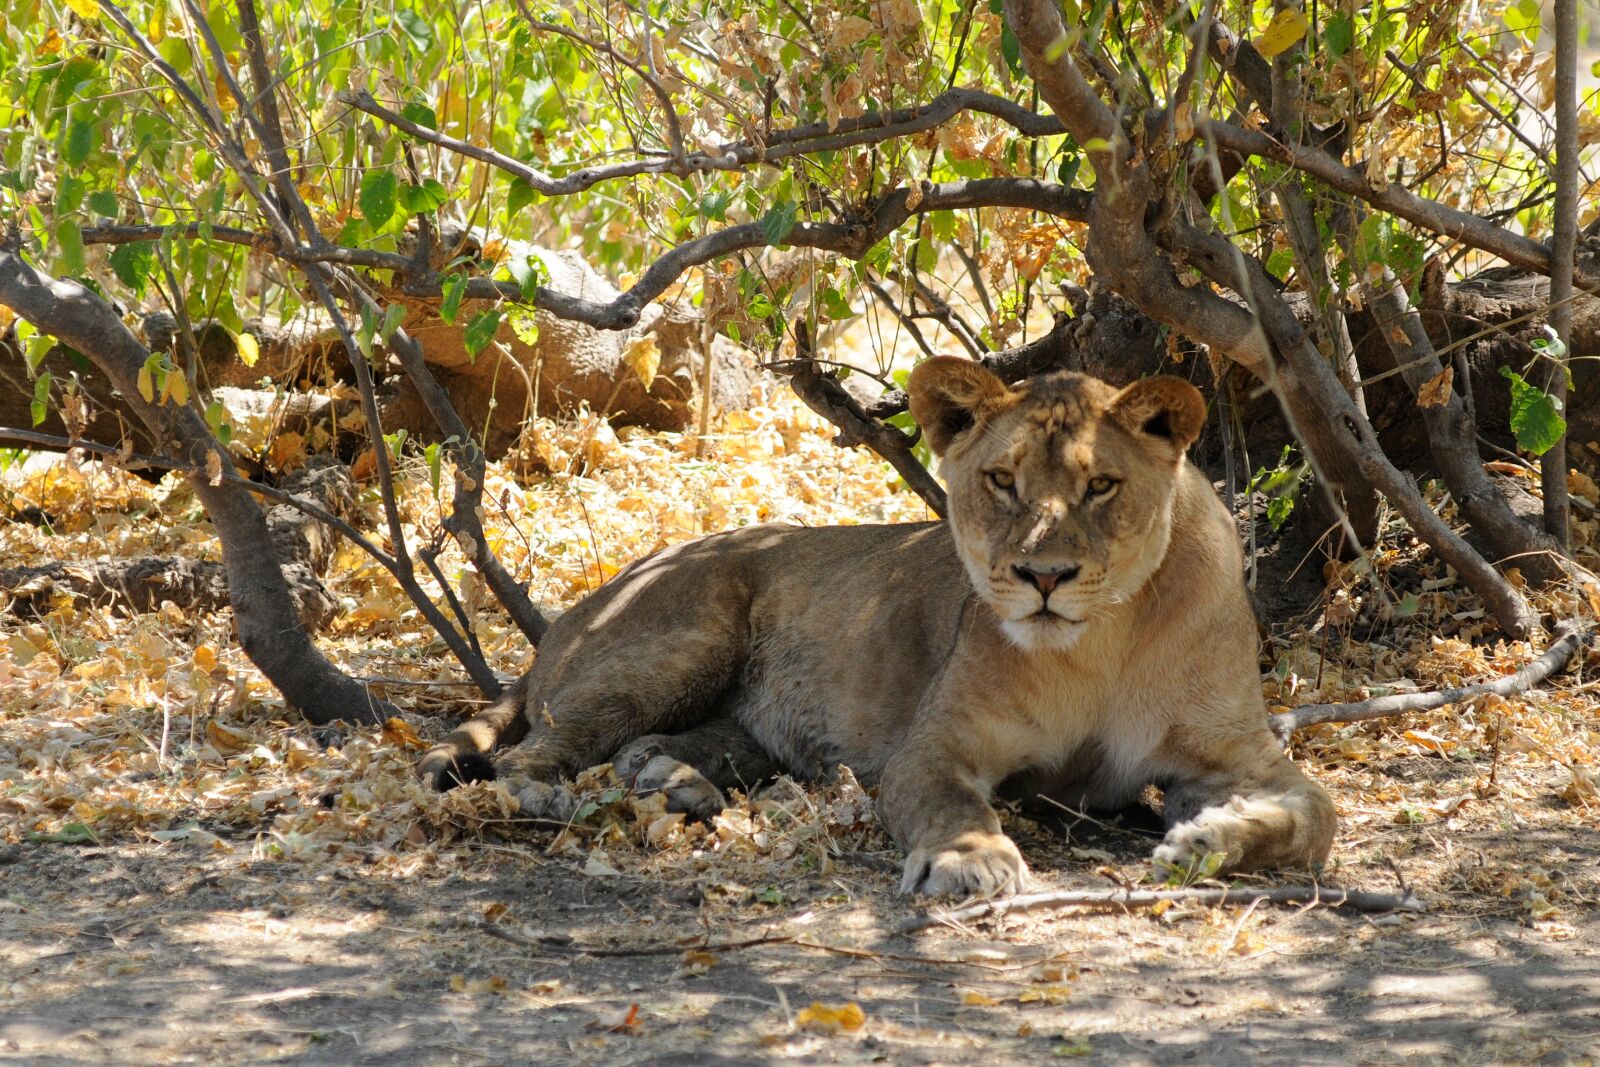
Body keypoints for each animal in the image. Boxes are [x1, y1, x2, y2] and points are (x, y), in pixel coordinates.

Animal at [419, 357, 1336, 897]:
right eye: (1002, 480)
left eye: (1101, 485)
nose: (1043, 577)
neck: (1101, 644)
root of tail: (575, 611)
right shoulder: (934, 747)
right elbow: (949, 801)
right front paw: (973, 858)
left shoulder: (1234, 753)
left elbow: (1318, 815)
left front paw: (1208, 839)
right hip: (685, 637)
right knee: (533, 753)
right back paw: (557, 796)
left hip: (736, 718)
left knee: (645, 747)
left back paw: (681, 788)